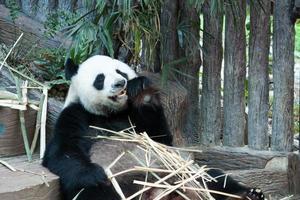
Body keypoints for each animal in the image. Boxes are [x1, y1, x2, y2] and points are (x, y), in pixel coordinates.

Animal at [42, 55, 264, 200]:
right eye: (100, 78)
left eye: (121, 72)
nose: (120, 83)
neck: (110, 113)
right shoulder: (75, 116)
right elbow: (63, 152)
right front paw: (94, 174)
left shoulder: (136, 119)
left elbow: (161, 139)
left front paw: (142, 91)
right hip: (123, 185)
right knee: (97, 193)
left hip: (186, 172)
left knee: (214, 178)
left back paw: (248, 194)